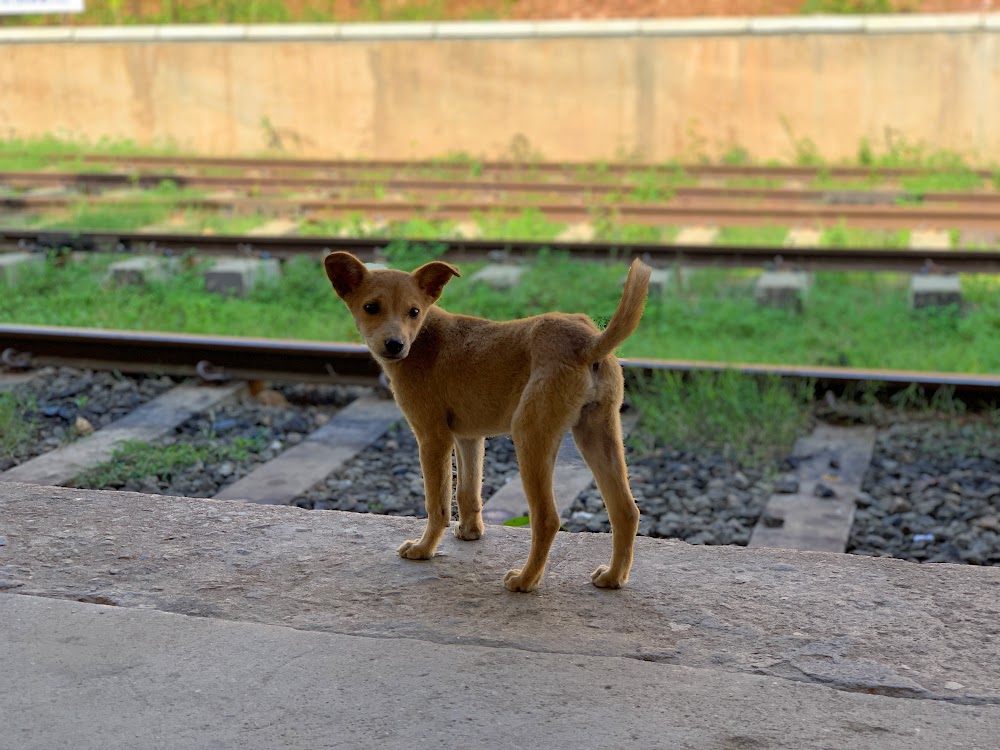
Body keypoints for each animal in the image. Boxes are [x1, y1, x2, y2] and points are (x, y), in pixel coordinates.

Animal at [324, 253, 652, 592]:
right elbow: (467, 492)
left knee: (547, 518)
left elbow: (438, 505)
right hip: (598, 433)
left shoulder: (432, 438)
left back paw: (525, 580)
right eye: (371, 307)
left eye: (413, 312)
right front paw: (470, 532)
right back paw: (613, 577)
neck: (423, 338)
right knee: (626, 511)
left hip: (530, 435)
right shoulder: (468, 438)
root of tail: (588, 342)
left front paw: (424, 549)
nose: (395, 345)